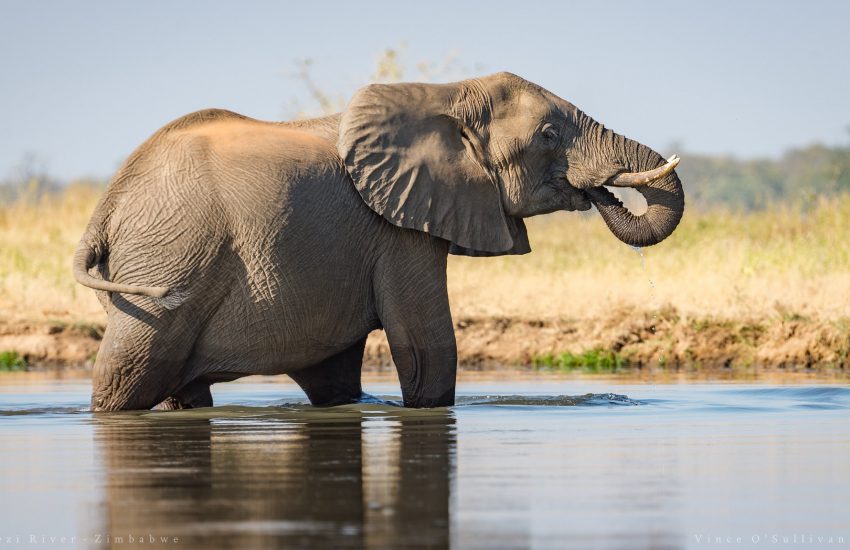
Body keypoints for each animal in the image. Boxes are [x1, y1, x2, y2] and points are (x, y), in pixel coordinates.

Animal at [73, 71, 684, 412]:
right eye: (549, 135)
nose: (600, 192)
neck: (447, 95)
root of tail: (108, 203)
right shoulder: (399, 229)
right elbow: (426, 344)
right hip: (168, 260)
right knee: (126, 373)